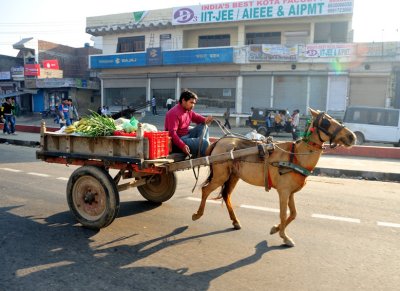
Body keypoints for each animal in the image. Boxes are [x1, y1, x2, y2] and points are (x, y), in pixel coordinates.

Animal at [191, 108, 356, 248]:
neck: (296, 156)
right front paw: (284, 236)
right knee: (205, 190)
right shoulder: (283, 191)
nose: (352, 137)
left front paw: (275, 229)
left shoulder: (290, 192)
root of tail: (219, 141)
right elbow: (283, 214)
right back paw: (197, 214)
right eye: (326, 122)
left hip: (233, 176)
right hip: (220, 175)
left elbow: (293, 214)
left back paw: (235, 221)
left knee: (226, 195)